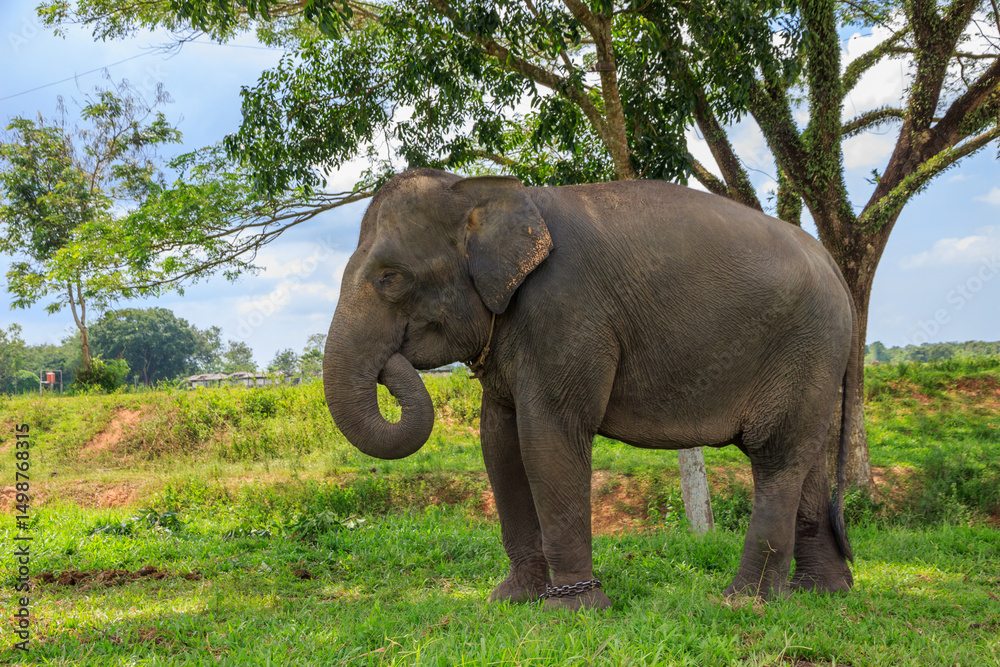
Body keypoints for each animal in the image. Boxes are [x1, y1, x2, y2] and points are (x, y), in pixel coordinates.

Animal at [323, 168, 857, 610]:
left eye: (390, 277)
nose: (393, 361)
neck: (481, 190)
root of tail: (834, 265)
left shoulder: (566, 310)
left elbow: (549, 436)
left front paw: (572, 611)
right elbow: (498, 440)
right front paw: (513, 599)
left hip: (803, 345)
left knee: (775, 456)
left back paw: (743, 603)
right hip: (814, 359)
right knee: (806, 459)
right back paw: (822, 593)